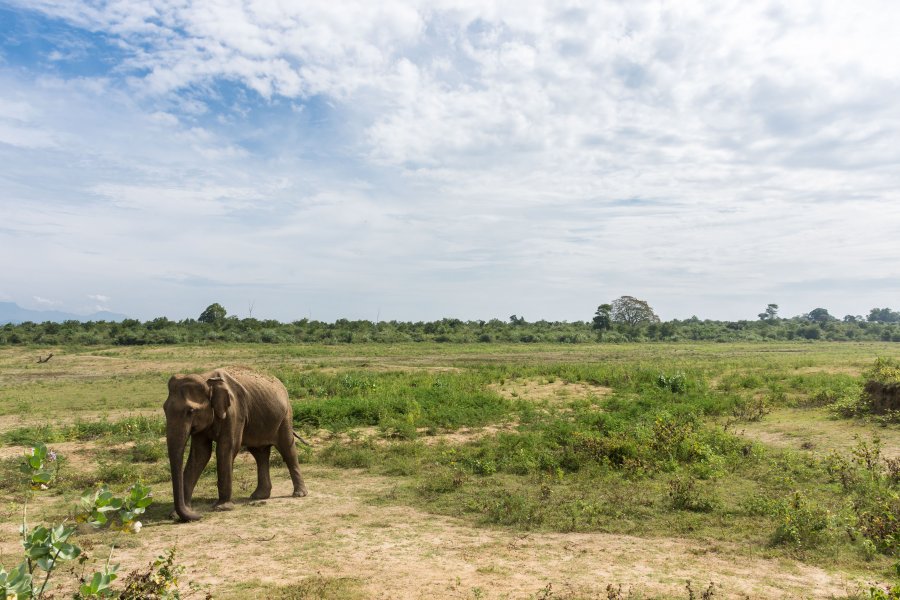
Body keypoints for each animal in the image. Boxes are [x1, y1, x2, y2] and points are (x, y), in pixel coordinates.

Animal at [165, 366, 310, 520]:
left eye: (191, 411)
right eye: (164, 409)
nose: (199, 514)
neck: (207, 379)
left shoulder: (234, 412)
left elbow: (226, 448)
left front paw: (221, 508)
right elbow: (200, 454)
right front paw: (176, 515)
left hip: (285, 416)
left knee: (287, 448)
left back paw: (299, 494)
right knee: (259, 453)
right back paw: (258, 496)